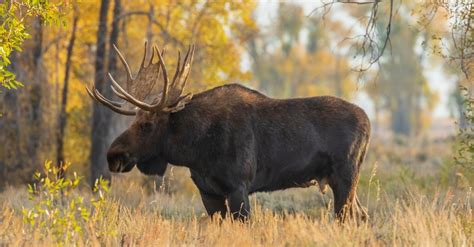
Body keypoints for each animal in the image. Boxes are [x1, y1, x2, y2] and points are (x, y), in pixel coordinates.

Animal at [88, 42, 370, 222]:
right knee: (362, 215)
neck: (195, 149)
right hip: (339, 181)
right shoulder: (209, 192)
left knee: (348, 217)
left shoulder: (238, 187)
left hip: (345, 177)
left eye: (147, 124)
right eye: (134, 121)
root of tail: (368, 121)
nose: (113, 156)